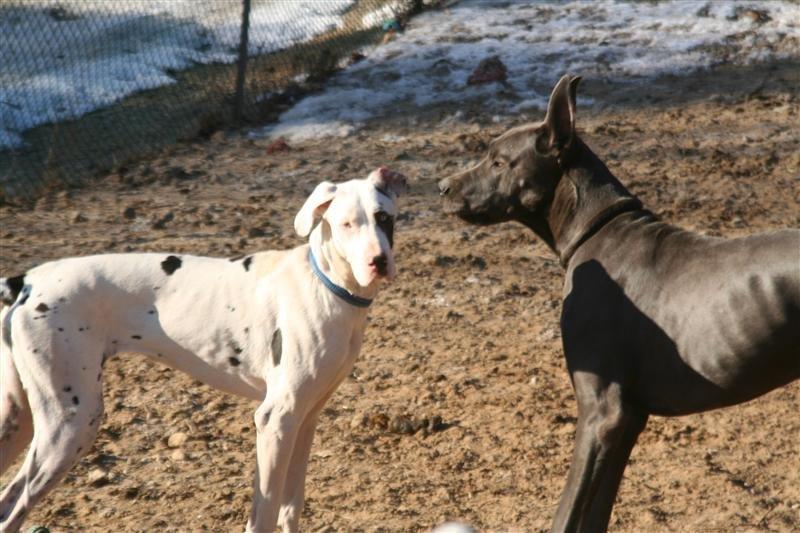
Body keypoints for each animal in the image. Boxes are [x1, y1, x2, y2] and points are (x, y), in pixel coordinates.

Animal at [0, 167, 407, 533]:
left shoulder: (304, 420)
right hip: (71, 423)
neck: (325, 285)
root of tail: (25, 282)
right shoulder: (274, 420)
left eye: (383, 218)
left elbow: (291, 508)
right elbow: (265, 513)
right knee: (13, 509)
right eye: (346, 224)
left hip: (21, 421)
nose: (378, 262)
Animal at [438, 75, 800, 532]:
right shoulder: (626, 422)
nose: (442, 187)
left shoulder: (602, 415)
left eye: (499, 162)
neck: (596, 230)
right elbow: (595, 515)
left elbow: (566, 514)